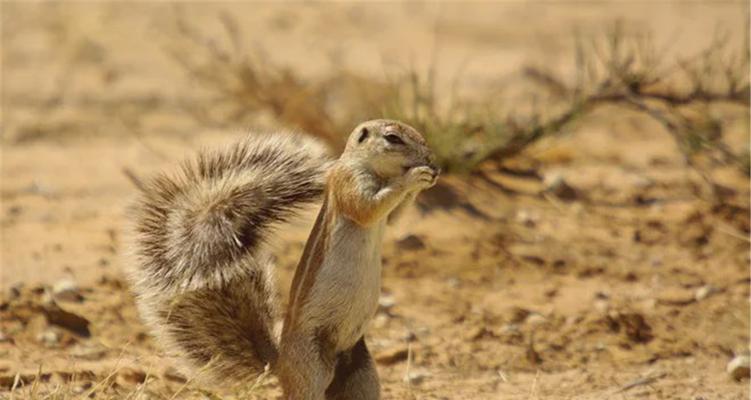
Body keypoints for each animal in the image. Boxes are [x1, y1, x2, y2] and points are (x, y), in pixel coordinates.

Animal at [126, 120, 438, 398]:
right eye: (392, 138)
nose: (431, 159)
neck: (374, 170)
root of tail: (279, 365)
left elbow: (393, 216)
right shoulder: (348, 183)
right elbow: (368, 207)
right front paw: (413, 178)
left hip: (362, 372)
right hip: (310, 367)